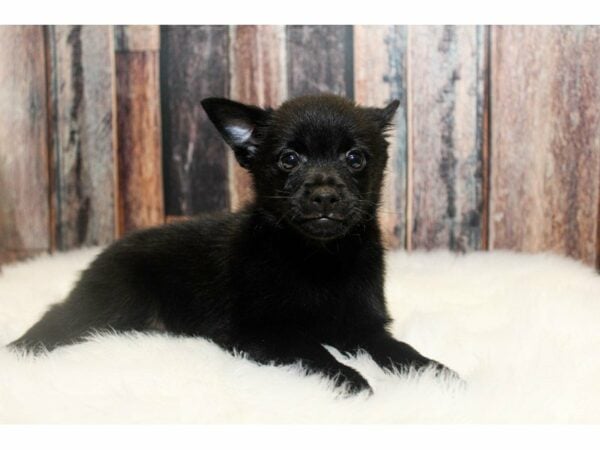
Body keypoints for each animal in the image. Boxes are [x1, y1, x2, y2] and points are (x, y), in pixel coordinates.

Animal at [9, 95, 454, 394]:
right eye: (289, 159)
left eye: (355, 158)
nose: (324, 195)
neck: (317, 256)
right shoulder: (260, 332)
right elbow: (314, 350)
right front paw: (351, 379)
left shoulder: (362, 324)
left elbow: (397, 349)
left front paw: (436, 372)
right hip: (113, 300)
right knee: (60, 315)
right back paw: (21, 349)